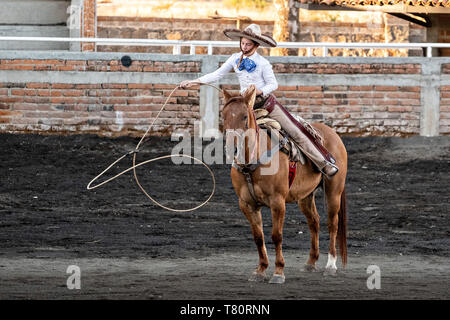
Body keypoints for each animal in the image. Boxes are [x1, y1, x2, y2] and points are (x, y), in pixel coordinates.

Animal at [221, 86, 348, 284]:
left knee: (332, 224)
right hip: (305, 196)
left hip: (334, 191)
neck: (252, 164)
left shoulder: (277, 202)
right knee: (314, 222)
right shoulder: (247, 204)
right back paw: (310, 263)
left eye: (244, 117)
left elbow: (276, 235)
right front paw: (260, 271)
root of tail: (333, 134)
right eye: (224, 116)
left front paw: (278, 272)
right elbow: (258, 237)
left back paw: (331, 265)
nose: (231, 148)